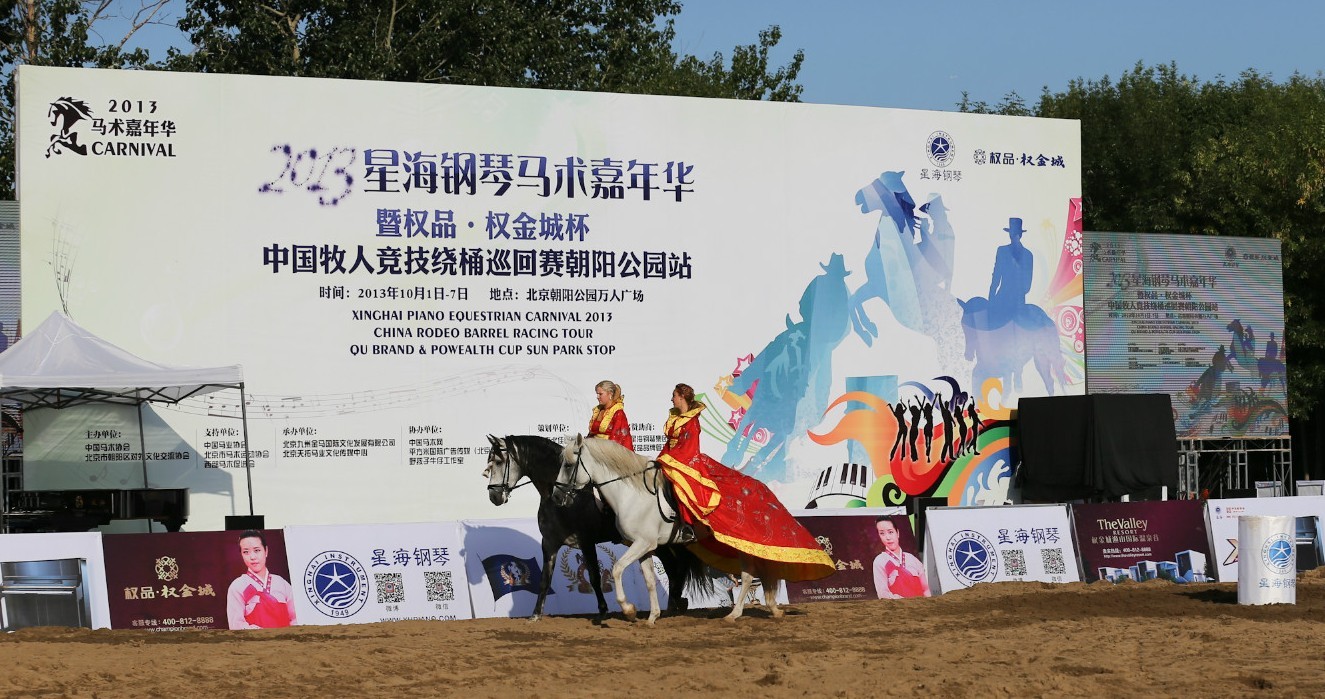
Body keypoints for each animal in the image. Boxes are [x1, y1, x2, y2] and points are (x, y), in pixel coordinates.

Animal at [483, 435, 706, 622]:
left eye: (498, 462)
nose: (493, 497)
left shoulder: (586, 540)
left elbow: (594, 577)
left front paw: (604, 610)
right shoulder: (549, 543)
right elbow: (545, 579)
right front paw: (536, 614)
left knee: (677, 566)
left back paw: (674, 604)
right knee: (673, 567)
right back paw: (673, 605)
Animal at [553, 435, 781, 624]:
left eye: (568, 465)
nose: (556, 496)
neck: (631, 495)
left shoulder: (642, 543)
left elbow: (617, 568)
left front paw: (629, 610)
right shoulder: (646, 547)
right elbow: (649, 581)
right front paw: (652, 617)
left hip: (740, 543)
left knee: (748, 575)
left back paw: (734, 614)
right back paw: (767, 608)